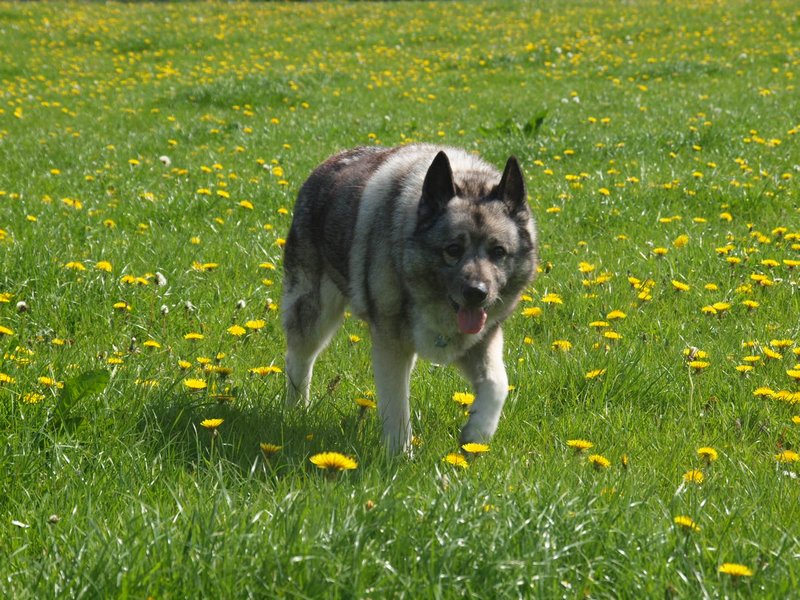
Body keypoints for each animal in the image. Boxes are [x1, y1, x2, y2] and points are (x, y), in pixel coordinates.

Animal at [282, 144, 536, 454]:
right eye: (453, 249)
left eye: (498, 251)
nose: (476, 292)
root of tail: (328, 163)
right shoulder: (391, 346)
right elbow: (396, 407)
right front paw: (399, 456)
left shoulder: (480, 340)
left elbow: (498, 383)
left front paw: (477, 432)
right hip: (314, 310)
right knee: (300, 357)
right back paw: (296, 409)